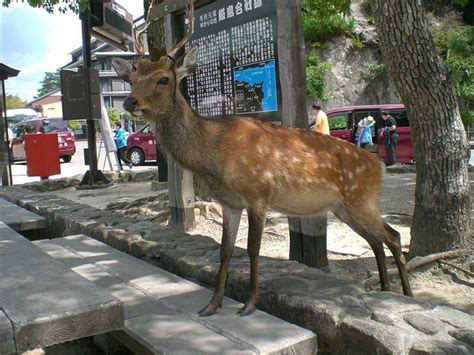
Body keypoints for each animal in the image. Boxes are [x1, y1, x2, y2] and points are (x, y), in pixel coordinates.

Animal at [111, 2, 412, 318]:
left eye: (163, 78)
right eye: (131, 80)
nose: (130, 102)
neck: (215, 155)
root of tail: (379, 166)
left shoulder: (259, 192)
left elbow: (253, 249)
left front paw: (249, 304)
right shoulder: (229, 203)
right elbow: (225, 250)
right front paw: (212, 305)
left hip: (361, 199)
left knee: (393, 236)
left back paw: (406, 293)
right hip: (345, 208)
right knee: (378, 240)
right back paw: (387, 289)